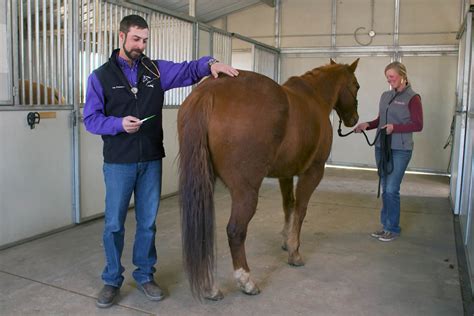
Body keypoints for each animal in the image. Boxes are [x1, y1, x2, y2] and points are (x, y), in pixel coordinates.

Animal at [177, 58, 360, 298]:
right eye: (356, 86)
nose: (354, 119)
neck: (315, 98)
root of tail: (209, 91)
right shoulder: (313, 171)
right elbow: (301, 209)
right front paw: (294, 252)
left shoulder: (286, 173)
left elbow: (288, 205)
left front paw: (286, 240)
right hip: (246, 192)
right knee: (235, 231)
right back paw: (246, 281)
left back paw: (210, 287)